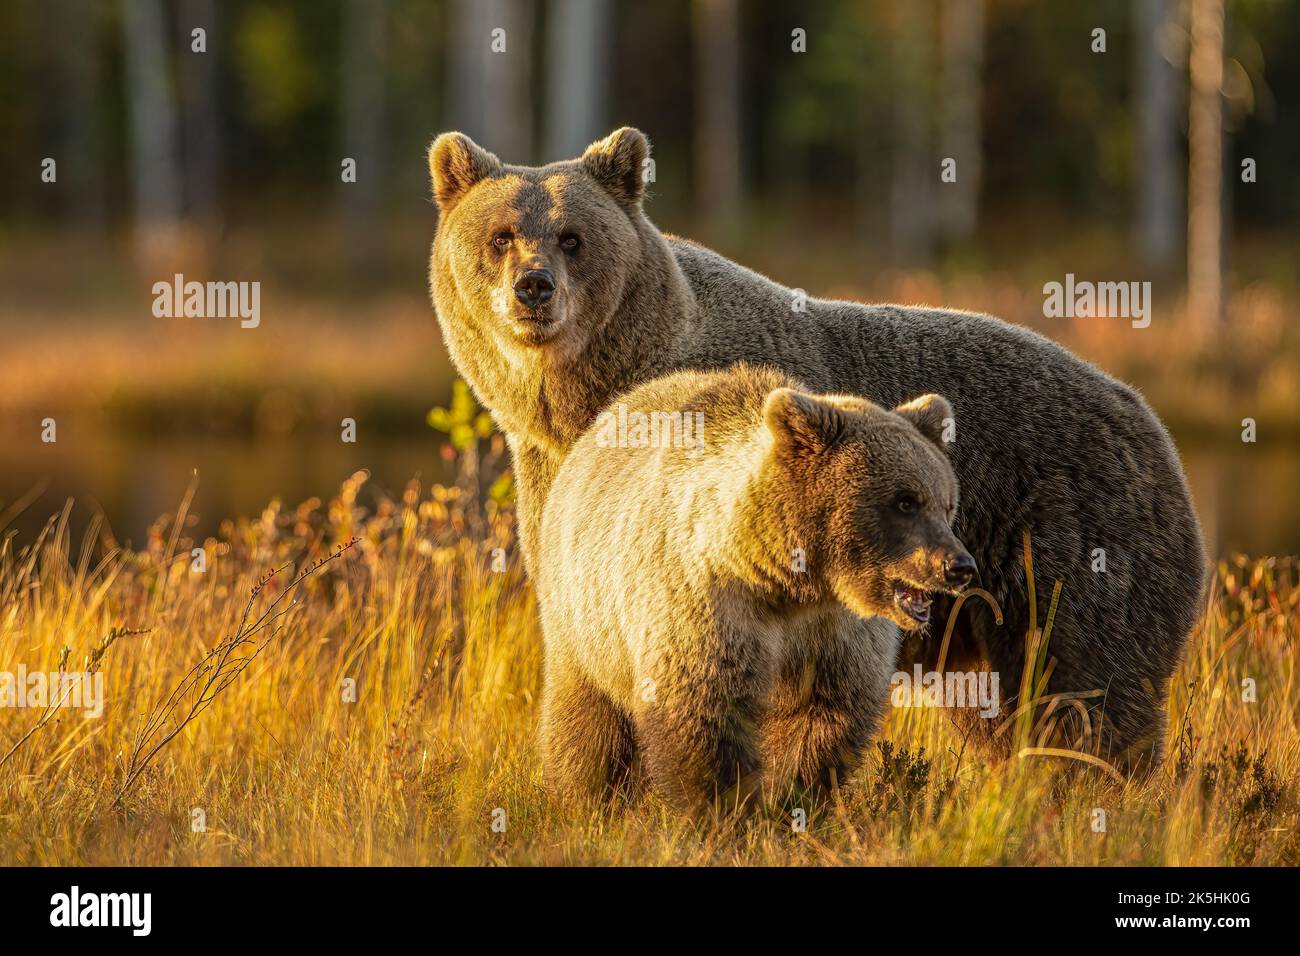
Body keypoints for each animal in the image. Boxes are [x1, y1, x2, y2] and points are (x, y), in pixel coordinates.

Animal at [533, 361, 972, 811]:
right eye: (905, 501)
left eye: (946, 504)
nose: (958, 566)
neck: (792, 584)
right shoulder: (709, 606)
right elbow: (704, 714)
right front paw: (725, 807)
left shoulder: (837, 632)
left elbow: (825, 715)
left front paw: (792, 796)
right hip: (585, 618)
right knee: (588, 717)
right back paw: (582, 795)